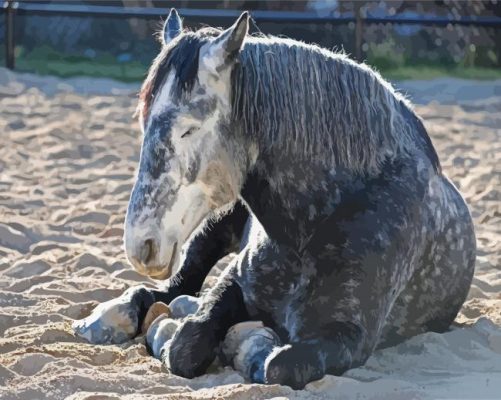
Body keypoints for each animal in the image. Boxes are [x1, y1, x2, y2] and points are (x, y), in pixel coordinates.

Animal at [72, 9, 474, 390]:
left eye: (188, 129)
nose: (141, 245)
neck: (315, 221)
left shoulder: (349, 336)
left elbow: (279, 364)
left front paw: (248, 342)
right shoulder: (234, 284)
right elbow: (187, 343)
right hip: (213, 229)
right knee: (171, 287)